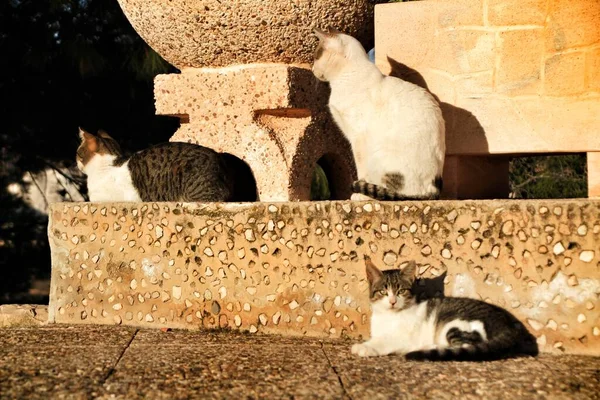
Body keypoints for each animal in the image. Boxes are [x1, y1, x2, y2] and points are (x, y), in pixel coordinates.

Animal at [312, 28, 442, 200]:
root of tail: (433, 189)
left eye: (316, 56)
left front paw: (360, 194)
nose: (312, 69)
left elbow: (361, 169)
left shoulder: (358, 137)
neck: (344, 78)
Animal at [352, 258, 540, 360]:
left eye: (401, 291)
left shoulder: (402, 337)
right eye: (383, 291)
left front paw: (364, 347)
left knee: (465, 345)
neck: (389, 316)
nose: (392, 301)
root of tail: (509, 325)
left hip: (457, 324)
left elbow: (384, 341)